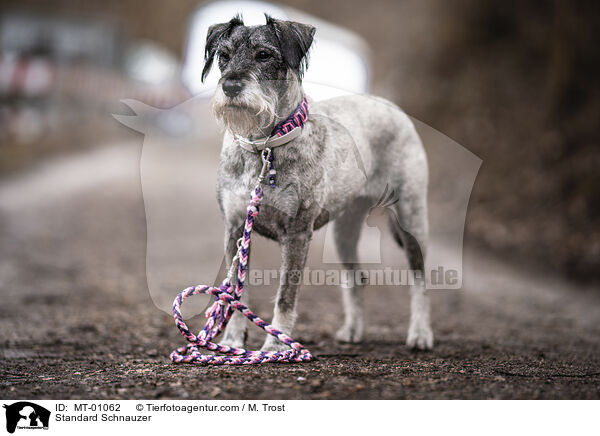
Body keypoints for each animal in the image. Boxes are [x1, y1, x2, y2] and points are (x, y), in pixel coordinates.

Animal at [204, 14, 434, 350]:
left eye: (264, 55)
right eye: (224, 55)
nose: (231, 86)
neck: (265, 149)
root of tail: (394, 109)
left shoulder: (297, 234)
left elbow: (285, 297)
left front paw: (275, 345)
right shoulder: (235, 229)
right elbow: (236, 291)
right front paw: (233, 341)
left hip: (411, 218)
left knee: (420, 277)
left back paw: (420, 333)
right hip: (344, 232)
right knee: (356, 278)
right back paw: (352, 330)